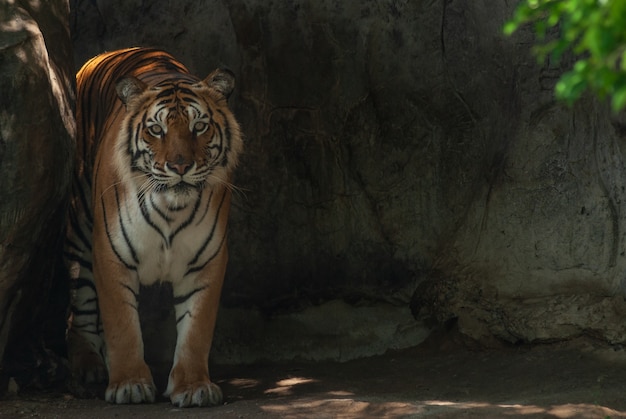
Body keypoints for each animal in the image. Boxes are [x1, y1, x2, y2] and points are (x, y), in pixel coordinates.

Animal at [64, 47, 243, 408]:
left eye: (199, 126)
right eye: (157, 130)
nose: (179, 166)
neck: (170, 211)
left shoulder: (206, 262)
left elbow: (195, 331)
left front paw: (193, 387)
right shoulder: (110, 254)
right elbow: (122, 327)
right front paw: (129, 385)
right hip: (80, 231)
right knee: (81, 306)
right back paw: (88, 366)